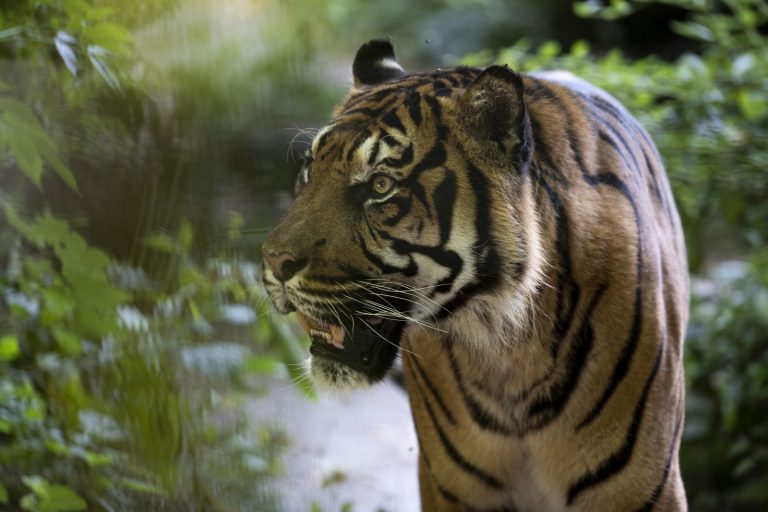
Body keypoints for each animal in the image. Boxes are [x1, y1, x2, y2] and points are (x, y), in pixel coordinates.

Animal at [262, 38, 688, 510]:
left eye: (380, 186)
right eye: (308, 170)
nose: (273, 261)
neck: (511, 350)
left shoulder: (640, 488)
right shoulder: (449, 486)